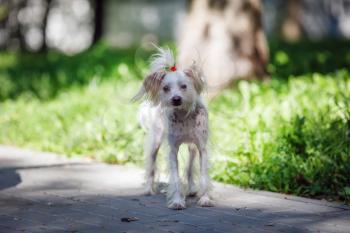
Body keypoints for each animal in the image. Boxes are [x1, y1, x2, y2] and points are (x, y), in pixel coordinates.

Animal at [133, 46, 212, 209]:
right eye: (166, 88)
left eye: (184, 86)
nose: (176, 99)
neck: (184, 116)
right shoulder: (173, 151)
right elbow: (175, 178)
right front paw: (177, 201)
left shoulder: (202, 148)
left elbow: (203, 175)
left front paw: (205, 198)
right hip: (156, 141)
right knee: (151, 165)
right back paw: (149, 189)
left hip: (192, 148)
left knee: (189, 167)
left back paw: (192, 188)